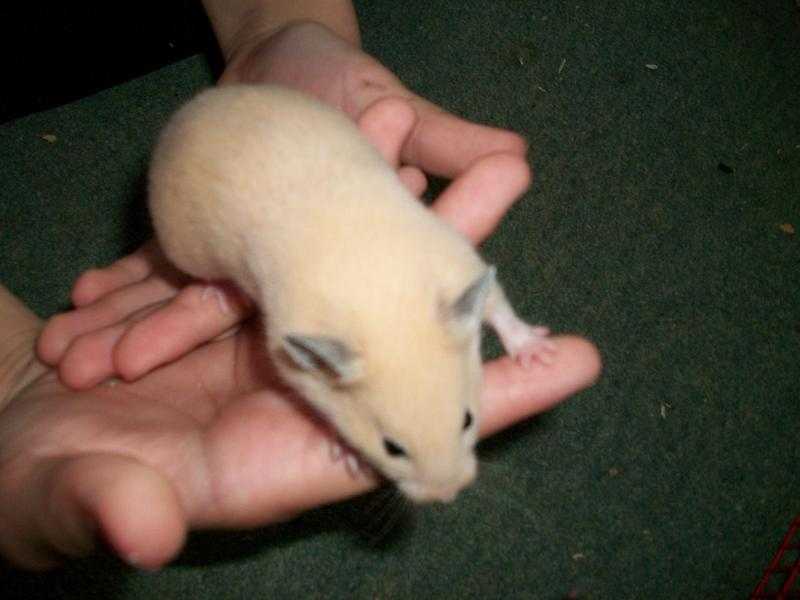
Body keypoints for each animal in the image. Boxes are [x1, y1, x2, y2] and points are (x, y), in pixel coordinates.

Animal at [147, 84, 552, 502]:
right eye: (391, 448)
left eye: (468, 420)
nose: (447, 495)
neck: (385, 306)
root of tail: (190, 111)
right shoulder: (295, 363)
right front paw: (347, 455)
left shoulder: (459, 263)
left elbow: (497, 305)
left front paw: (539, 353)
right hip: (182, 243)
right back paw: (215, 294)